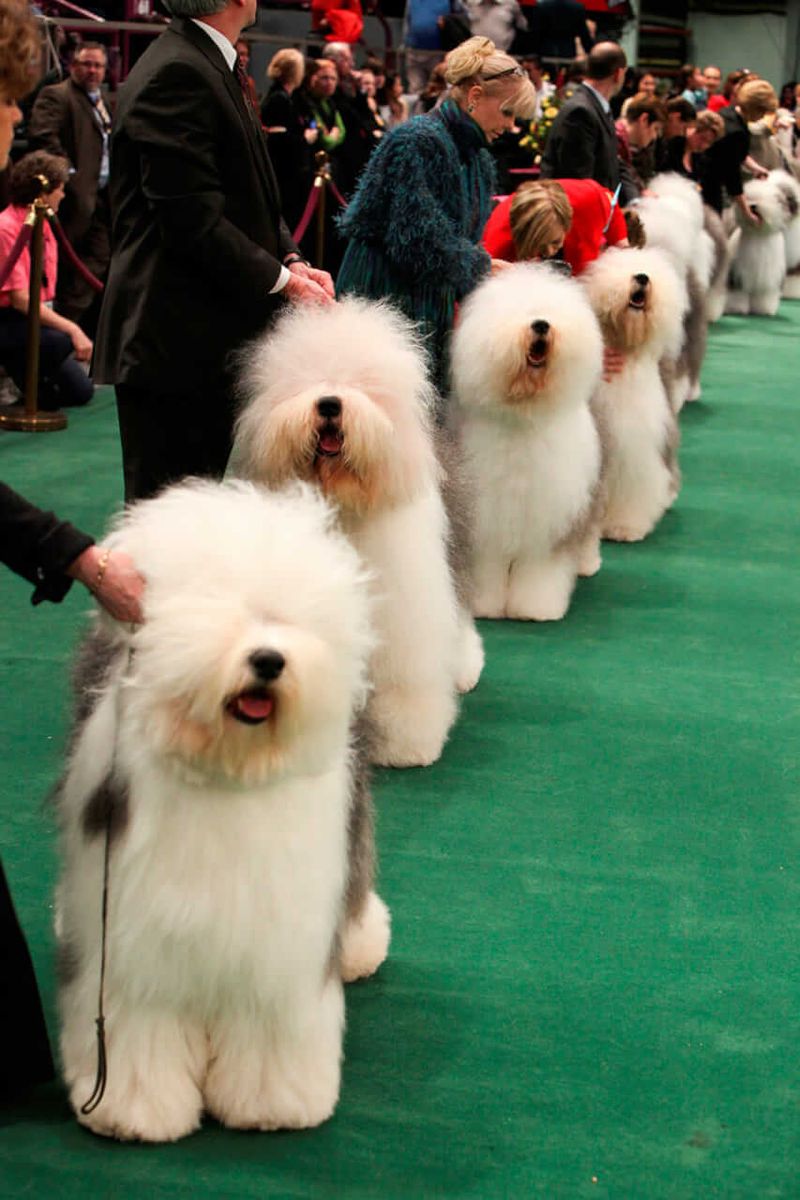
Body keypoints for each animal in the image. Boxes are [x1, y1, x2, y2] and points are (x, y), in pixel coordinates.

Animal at [56, 477, 391, 1142]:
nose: (268, 660)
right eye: (218, 613)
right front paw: (135, 1109)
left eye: (285, 620)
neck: (228, 769)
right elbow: (137, 1029)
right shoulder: (134, 946)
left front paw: (273, 1104)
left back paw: (360, 946)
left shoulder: (275, 947)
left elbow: (268, 1029)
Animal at [231, 300, 482, 768]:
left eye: (365, 386)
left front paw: (408, 744)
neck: (340, 503)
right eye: (306, 381)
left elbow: (403, 679)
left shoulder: (403, 617)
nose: (330, 403)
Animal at [453, 262, 604, 619]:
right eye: (515, 312)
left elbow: (540, 570)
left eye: (550, 311)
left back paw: (587, 564)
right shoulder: (487, 521)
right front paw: (486, 605)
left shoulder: (550, 519)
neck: (525, 415)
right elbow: (488, 568)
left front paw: (536, 608)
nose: (540, 324)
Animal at [729, 175, 791, 314]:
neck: (758, 234)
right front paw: (737, 307)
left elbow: (764, 295)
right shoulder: (739, 274)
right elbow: (738, 293)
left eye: (763, 199)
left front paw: (764, 308)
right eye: (749, 197)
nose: (752, 206)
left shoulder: (767, 276)